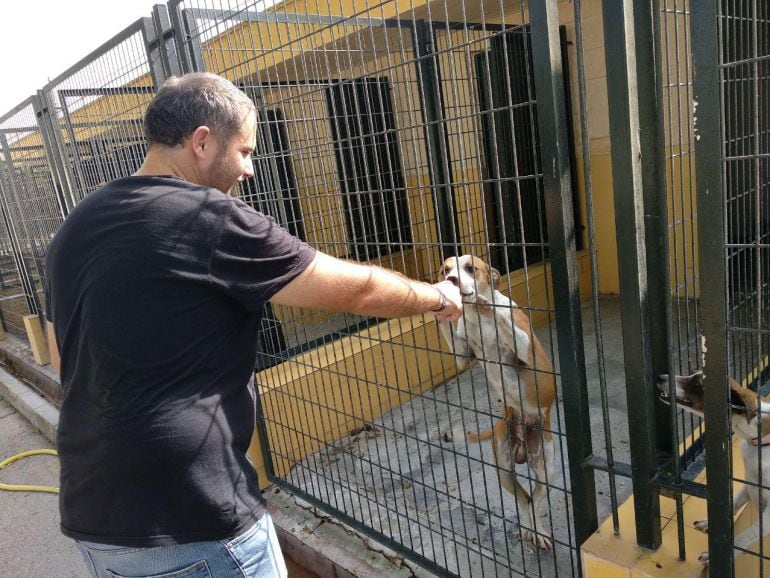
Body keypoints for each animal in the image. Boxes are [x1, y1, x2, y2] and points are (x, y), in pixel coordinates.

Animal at [436, 253, 556, 548]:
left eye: (471, 268)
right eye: (445, 269)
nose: (451, 280)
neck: (478, 319)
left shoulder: (525, 349)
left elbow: (503, 316)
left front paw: (489, 304)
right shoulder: (461, 355)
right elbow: (450, 330)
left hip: (546, 468)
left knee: (534, 497)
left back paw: (539, 532)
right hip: (503, 469)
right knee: (524, 498)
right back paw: (530, 529)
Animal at [656, 368, 768, 564]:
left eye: (697, 384)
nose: (660, 377)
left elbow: (747, 535)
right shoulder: (750, 480)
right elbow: (733, 502)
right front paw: (711, 523)